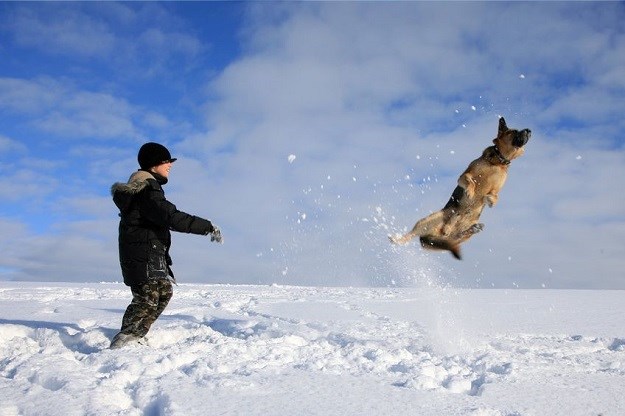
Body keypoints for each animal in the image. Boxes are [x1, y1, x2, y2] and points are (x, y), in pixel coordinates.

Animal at [390, 117, 532, 258]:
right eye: (514, 131)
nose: (529, 130)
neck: (498, 161)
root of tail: (439, 234)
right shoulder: (464, 175)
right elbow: (470, 180)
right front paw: (470, 192)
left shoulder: (496, 189)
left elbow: (495, 196)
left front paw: (489, 200)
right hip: (428, 220)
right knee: (411, 234)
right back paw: (397, 240)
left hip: (467, 228)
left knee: (457, 238)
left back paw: (472, 229)